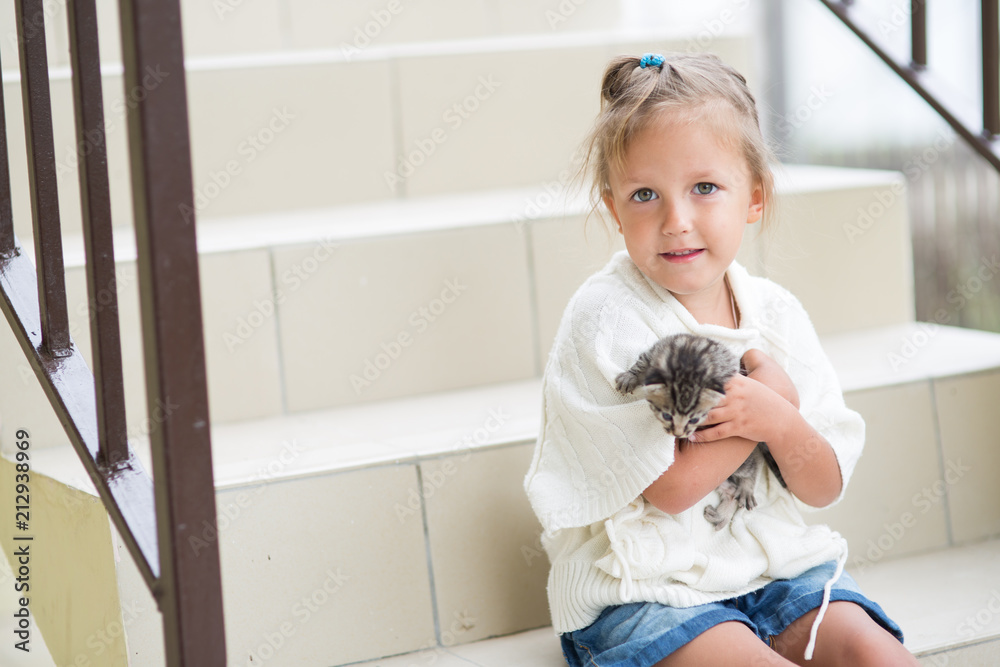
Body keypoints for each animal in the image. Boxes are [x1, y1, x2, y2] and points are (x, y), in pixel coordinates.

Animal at [612, 334, 784, 532]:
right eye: (667, 415)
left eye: (694, 420)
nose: (679, 434)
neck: (689, 364)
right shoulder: (657, 351)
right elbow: (642, 362)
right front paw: (629, 377)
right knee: (731, 490)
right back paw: (720, 516)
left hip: (741, 462)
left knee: (752, 467)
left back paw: (746, 489)